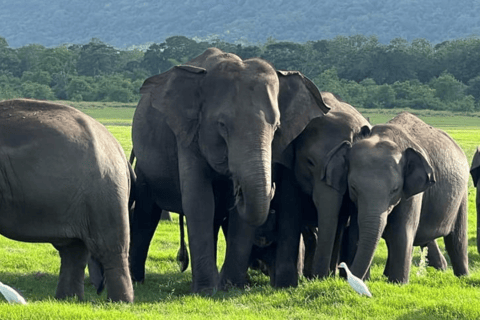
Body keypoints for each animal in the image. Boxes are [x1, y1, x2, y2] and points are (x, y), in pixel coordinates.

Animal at [0, 99, 135, 302]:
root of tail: (118, 149)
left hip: (105, 192)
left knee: (110, 247)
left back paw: (120, 302)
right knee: (74, 250)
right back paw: (68, 299)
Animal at [127, 47, 330, 292]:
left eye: (277, 127)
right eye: (222, 126)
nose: (237, 189)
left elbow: (239, 219)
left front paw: (230, 288)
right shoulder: (188, 137)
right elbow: (199, 201)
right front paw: (206, 291)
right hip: (145, 167)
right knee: (147, 214)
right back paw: (137, 280)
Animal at [326, 112, 468, 282]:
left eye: (395, 190)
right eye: (353, 187)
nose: (346, 275)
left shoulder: (412, 192)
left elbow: (401, 231)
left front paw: (398, 283)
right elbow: (356, 230)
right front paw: (367, 280)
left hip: (462, 194)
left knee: (457, 240)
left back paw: (463, 277)